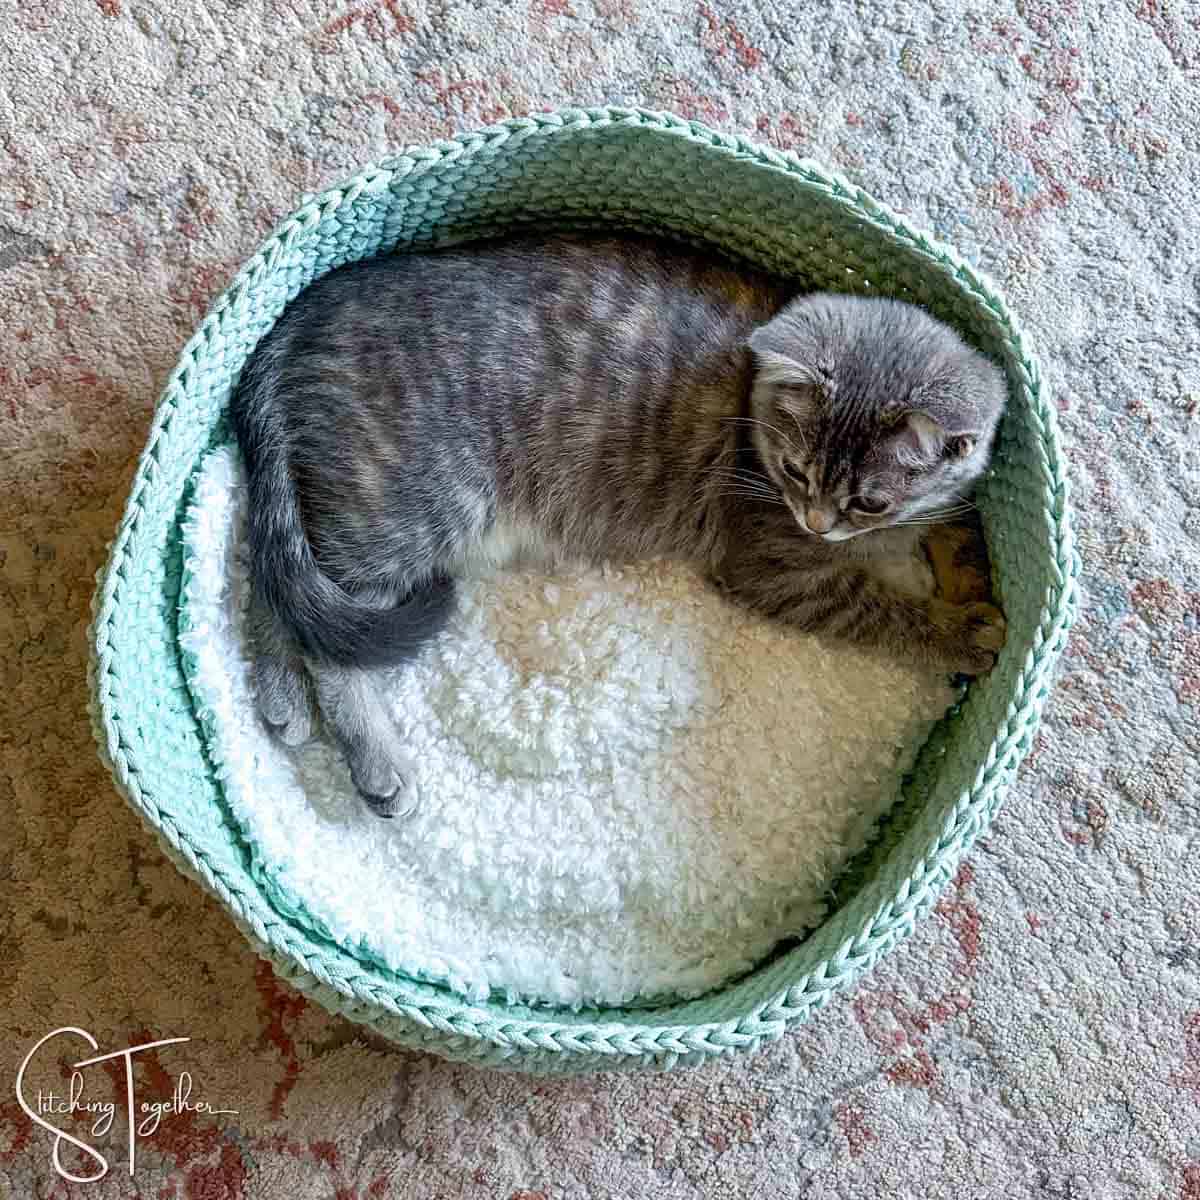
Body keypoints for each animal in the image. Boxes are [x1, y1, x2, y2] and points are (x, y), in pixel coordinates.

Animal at [229, 234, 1008, 816]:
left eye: (869, 501)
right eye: (794, 471)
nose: (817, 523)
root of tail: (300, 320)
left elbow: (960, 518)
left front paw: (972, 578)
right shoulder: (773, 566)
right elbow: (873, 606)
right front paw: (960, 632)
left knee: (289, 592)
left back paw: (282, 696)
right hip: (413, 507)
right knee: (322, 620)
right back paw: (371, 752)